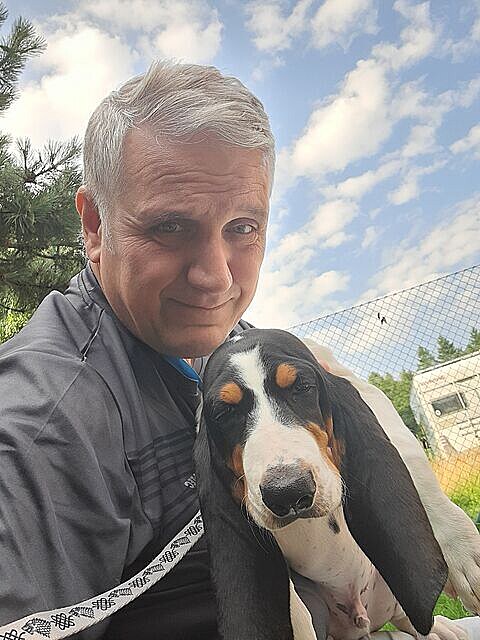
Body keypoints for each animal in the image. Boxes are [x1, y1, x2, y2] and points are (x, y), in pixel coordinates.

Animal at [194, 328, 479, 640]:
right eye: (224, 412)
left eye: (302, 387)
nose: (288, 492)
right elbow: (296, 615)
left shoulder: (367, 394)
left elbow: (410, 456)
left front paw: (466, 555)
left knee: (405, 613)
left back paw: (439, 627)